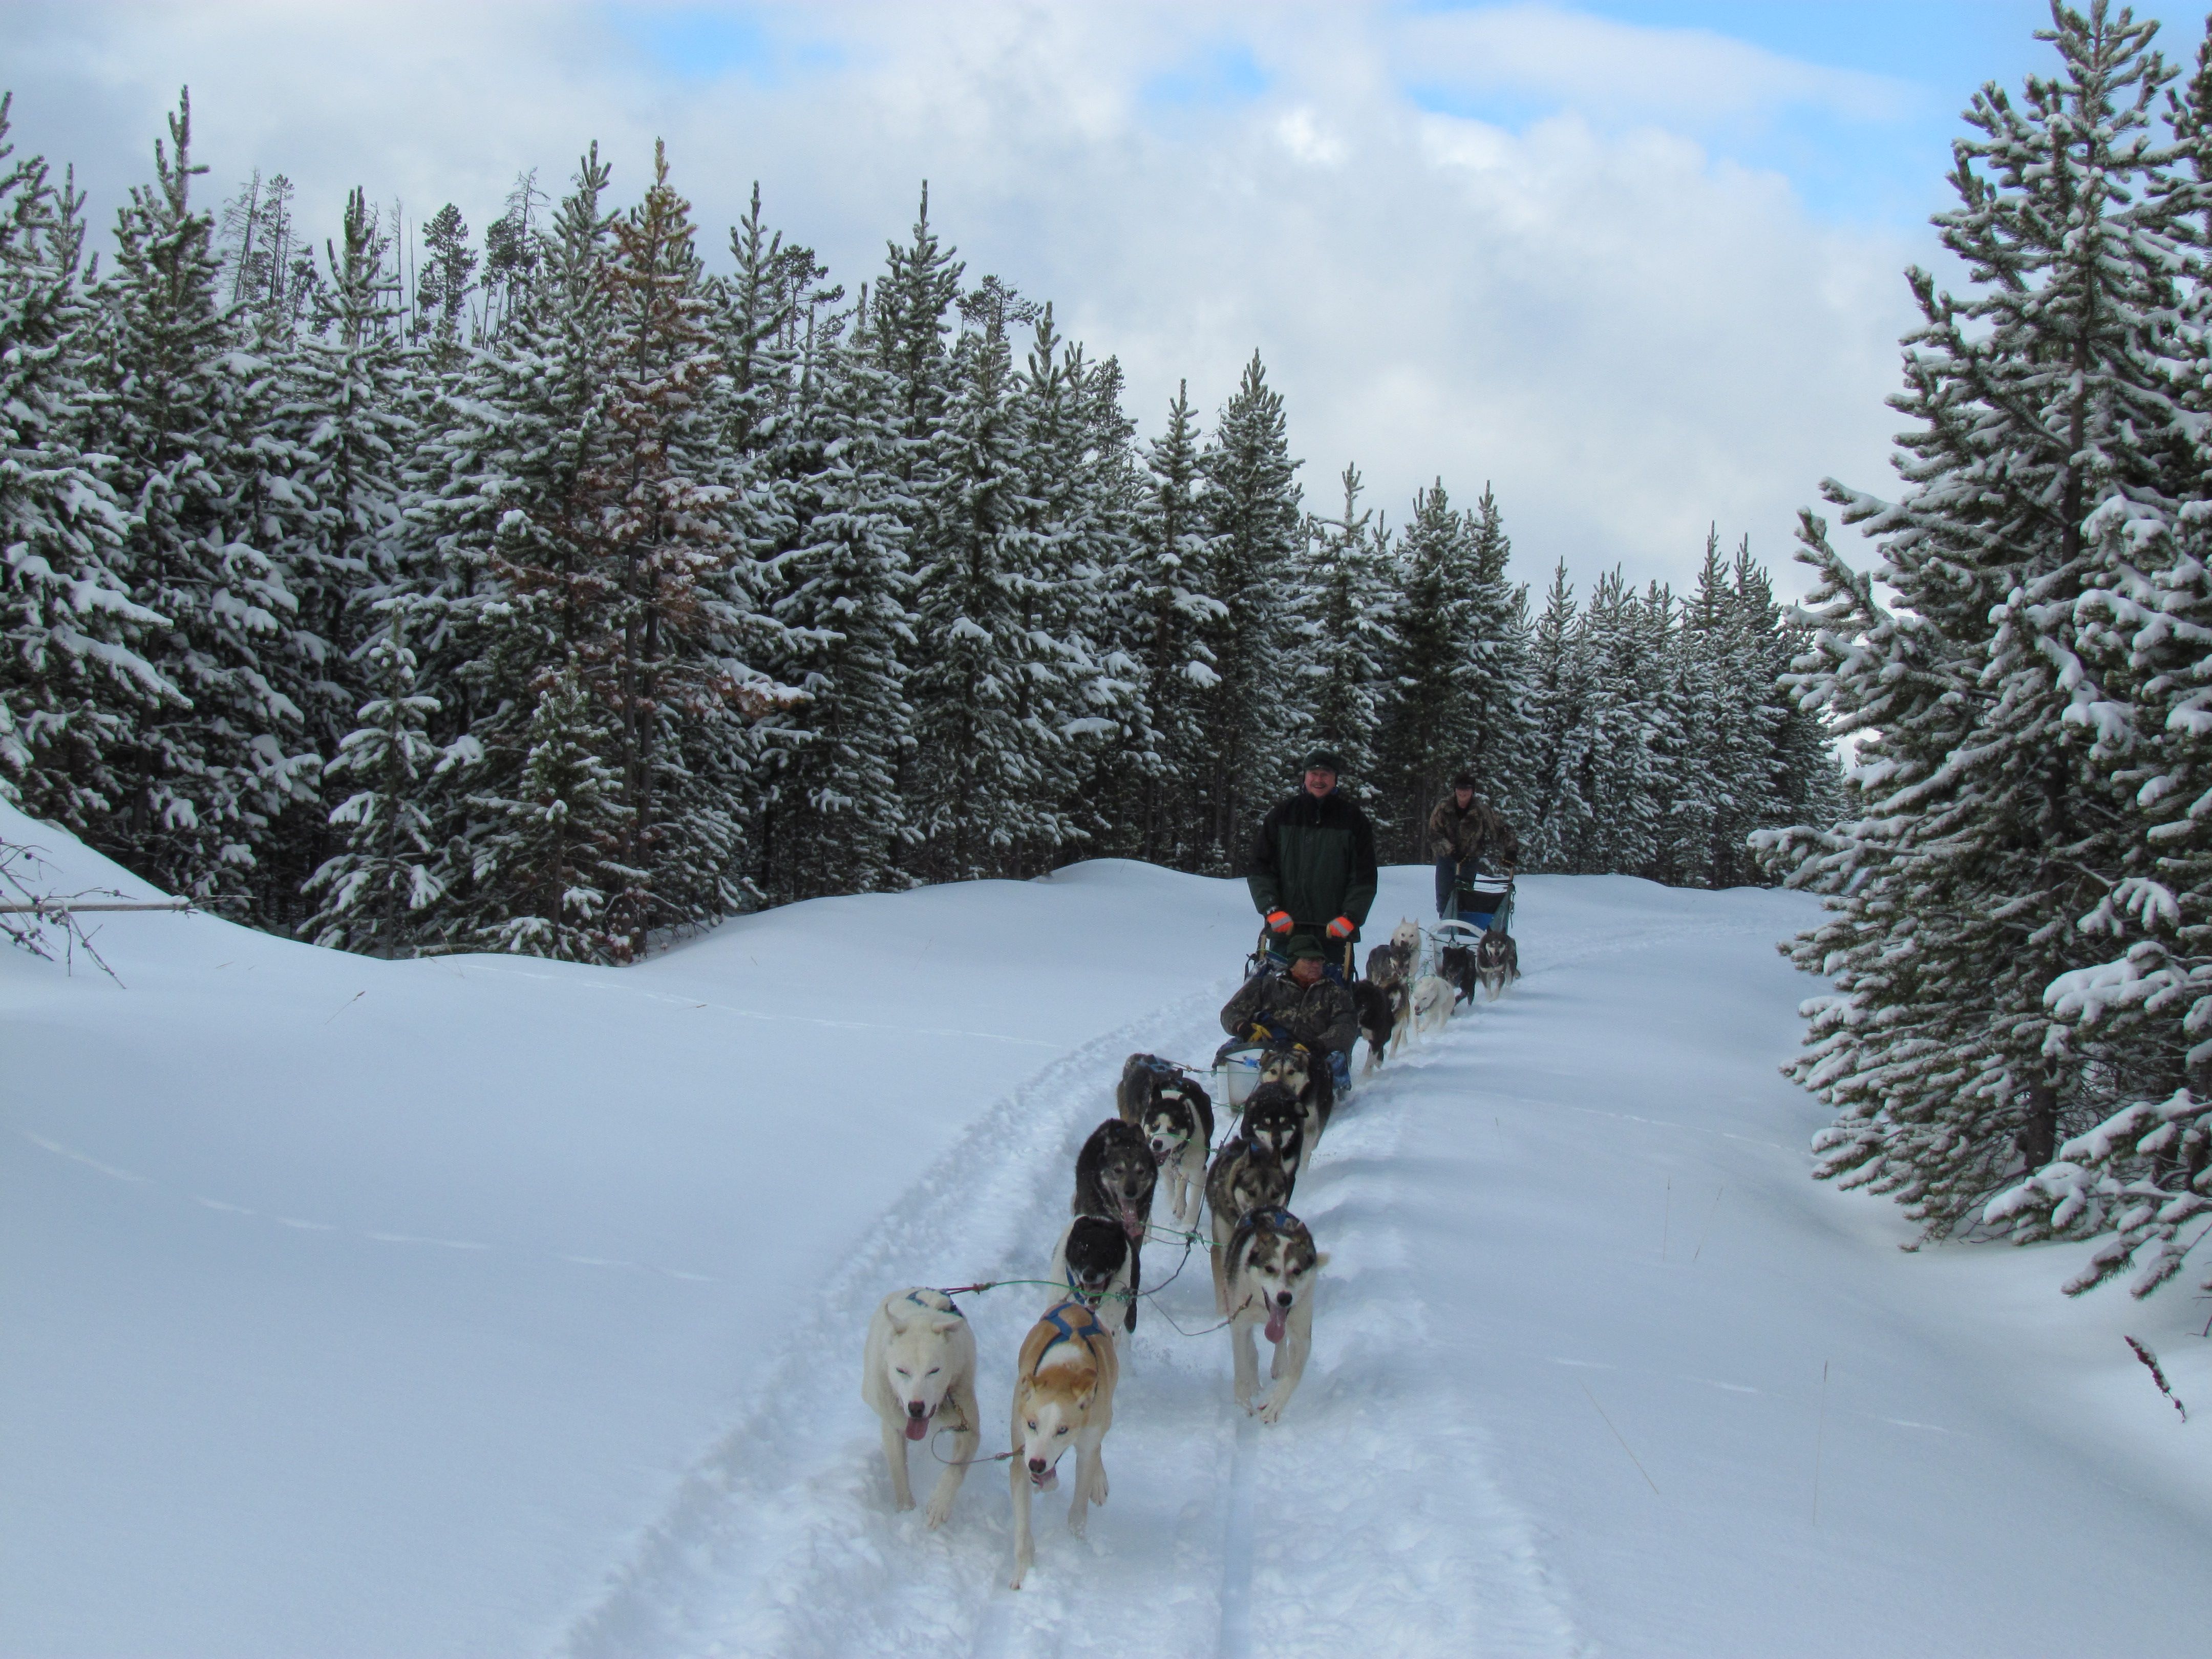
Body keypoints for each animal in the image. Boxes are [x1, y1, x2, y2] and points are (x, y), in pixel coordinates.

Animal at [854, 1283, 977, 1530]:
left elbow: (956, 1467)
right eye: (902, 1371)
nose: (916, 1408)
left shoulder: (967, 1424)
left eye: (934, 1371)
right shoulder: (893, 1424)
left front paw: (940, 1503)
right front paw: (906, 1510)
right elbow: (898, 1470)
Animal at [1013, 1301, 1123, 1601]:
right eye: (1032, 1424)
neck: (1064, 1370)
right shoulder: (1021, 1453)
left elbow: (1078, 1512)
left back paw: (1098, 1482)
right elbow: (1023, 1524)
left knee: (1098, 1447)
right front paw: (1023, 1570)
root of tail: (1076, 1304)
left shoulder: (1086, 1443)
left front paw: (1077, 1548)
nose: (1037, 1465)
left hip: (1106, 1413)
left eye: (1062, 1430)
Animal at [1221, 1212, 1318, 1433]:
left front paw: (1274, 1406)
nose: (1284, 1298)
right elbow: (1241, 1368)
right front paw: (1243, 1405)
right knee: (1251, 1352)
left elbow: (1294, 1374)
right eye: (1269, 1269)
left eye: (1297, 1271)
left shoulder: (1302, 1335)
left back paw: (1279, 1365)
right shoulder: (1239, 1324)